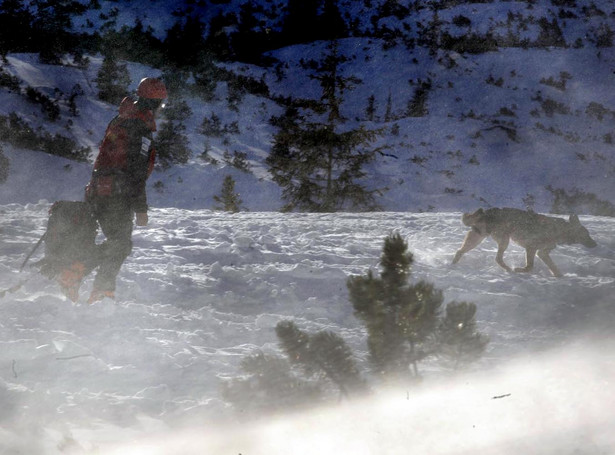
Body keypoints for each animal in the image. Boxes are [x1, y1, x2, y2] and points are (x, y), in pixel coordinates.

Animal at [452, 208, 596, 278]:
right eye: (587, 235)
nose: (595, 244)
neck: (560, 231)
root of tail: (487, 212)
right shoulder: (531, 248)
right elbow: (530, 267)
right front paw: (519, 270)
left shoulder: (542, 253)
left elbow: (554, 267)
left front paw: (560, 277)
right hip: (504, 241)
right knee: (497, 258)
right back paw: (509, 270)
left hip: (477, 239)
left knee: (459, 251)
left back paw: (453, 266)